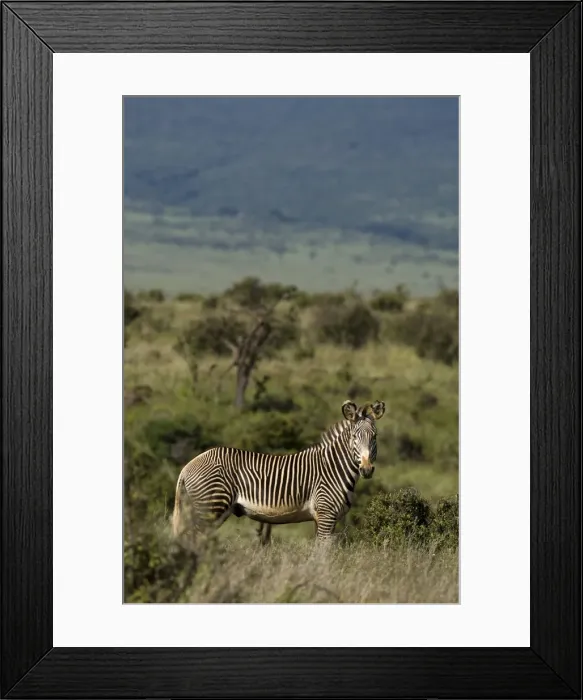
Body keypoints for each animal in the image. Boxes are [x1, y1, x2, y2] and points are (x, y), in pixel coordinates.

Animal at [172, 399, 386, 543]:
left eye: (374, 437)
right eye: (354, 437)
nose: (367, 469)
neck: (335, 467)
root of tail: (188, 466)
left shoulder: (322, 518)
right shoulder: (326, 514)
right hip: (211, 507)